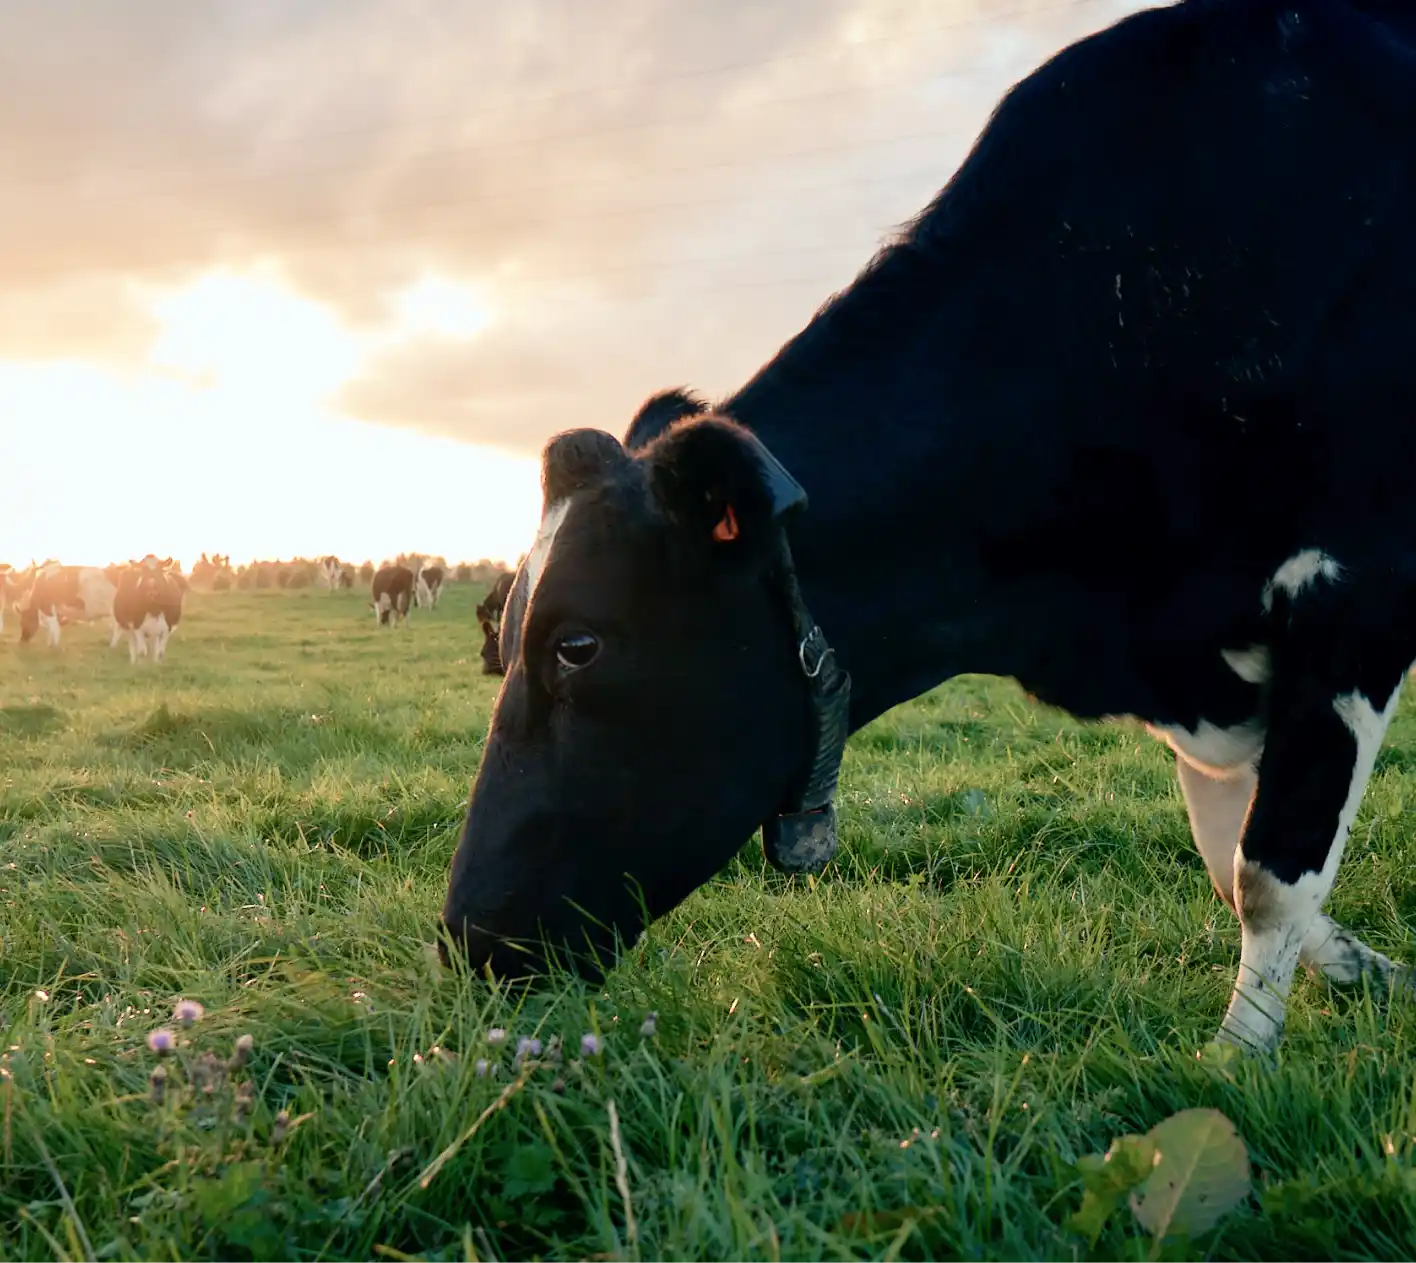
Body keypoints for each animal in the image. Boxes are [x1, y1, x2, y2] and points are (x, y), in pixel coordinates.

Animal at [438, 0, 1416, 1058]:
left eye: (577, 643)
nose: (467, 935)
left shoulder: (1353, 591)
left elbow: (1267, 874)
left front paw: (1234, 1064)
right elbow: (1227, 856)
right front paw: (1372, 970)